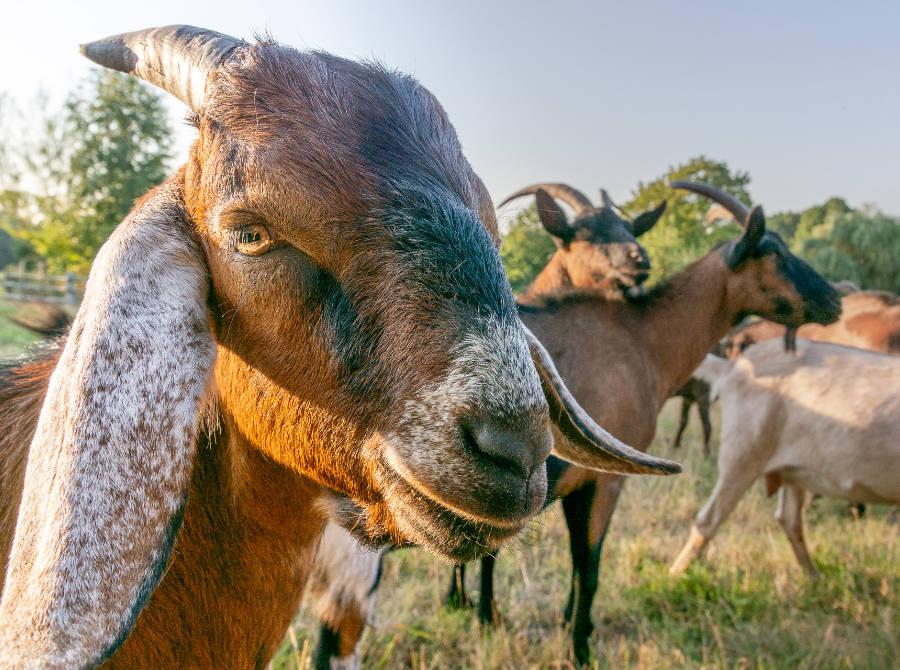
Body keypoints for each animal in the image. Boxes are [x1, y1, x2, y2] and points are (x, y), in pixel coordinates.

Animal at [304, 181, 844, 668]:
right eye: (774, 251)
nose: (835, 301)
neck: (642, 339)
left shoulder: (555, 487)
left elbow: (539, 557)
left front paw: (522, 619)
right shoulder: (602, 481)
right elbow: (590, 566)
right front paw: (579, 648)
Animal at [668, 342, 900, 576]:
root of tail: (734, 367)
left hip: (792, 470)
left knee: (789, 519)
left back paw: (812, 576)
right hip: (743, 453)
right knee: (709, 519)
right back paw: (676, 573)